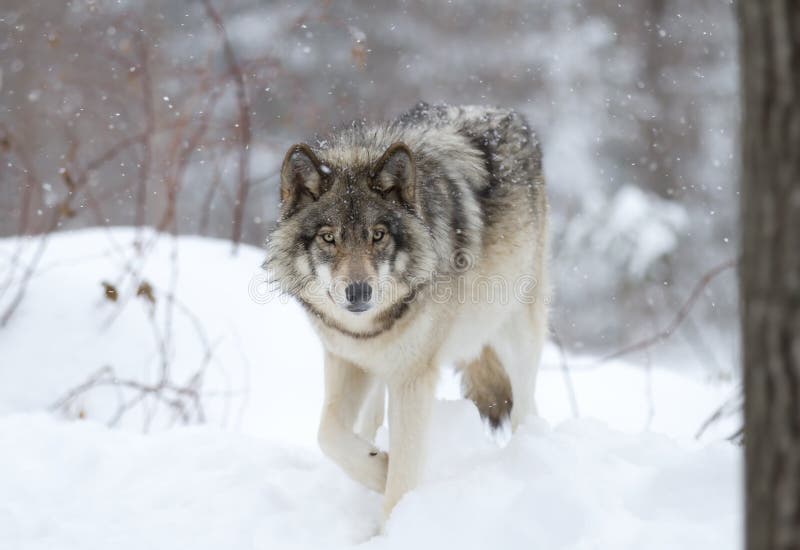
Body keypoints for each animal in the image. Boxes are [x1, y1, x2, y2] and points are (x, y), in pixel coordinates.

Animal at [266, 102, 548, 520]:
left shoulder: (413, 378)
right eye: (329, 238)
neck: (368, 328)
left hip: (515, 330)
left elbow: (401, 478)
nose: (358, 291)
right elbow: (327, 432)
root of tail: (501, 111)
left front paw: (392, 520)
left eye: (378, 235)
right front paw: (377, 466)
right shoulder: (345, 357)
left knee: (526, 408)